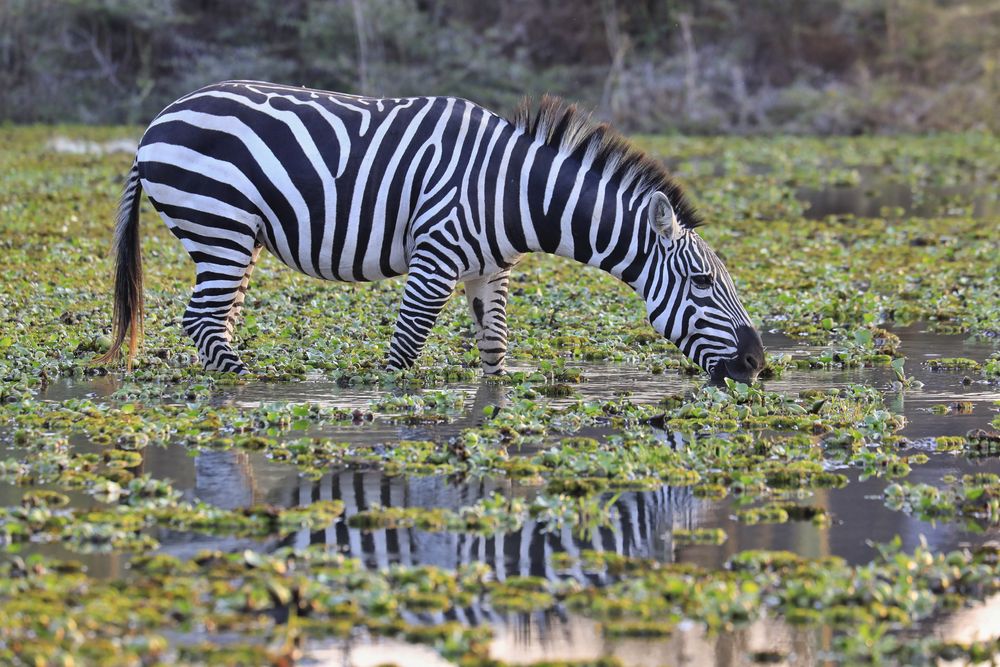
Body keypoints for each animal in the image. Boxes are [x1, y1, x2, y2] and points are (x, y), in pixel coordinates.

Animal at [95, 83, 764, 384]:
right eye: (702, 283)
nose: (757, 363)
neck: (510, 190)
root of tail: (158, 120)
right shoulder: (434, 257)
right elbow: (404, 354)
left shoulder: (490, 271)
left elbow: (494, 355)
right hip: (220, 225)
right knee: (203, 321)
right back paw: (252, 388)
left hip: (235, 238)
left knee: (216, 322)